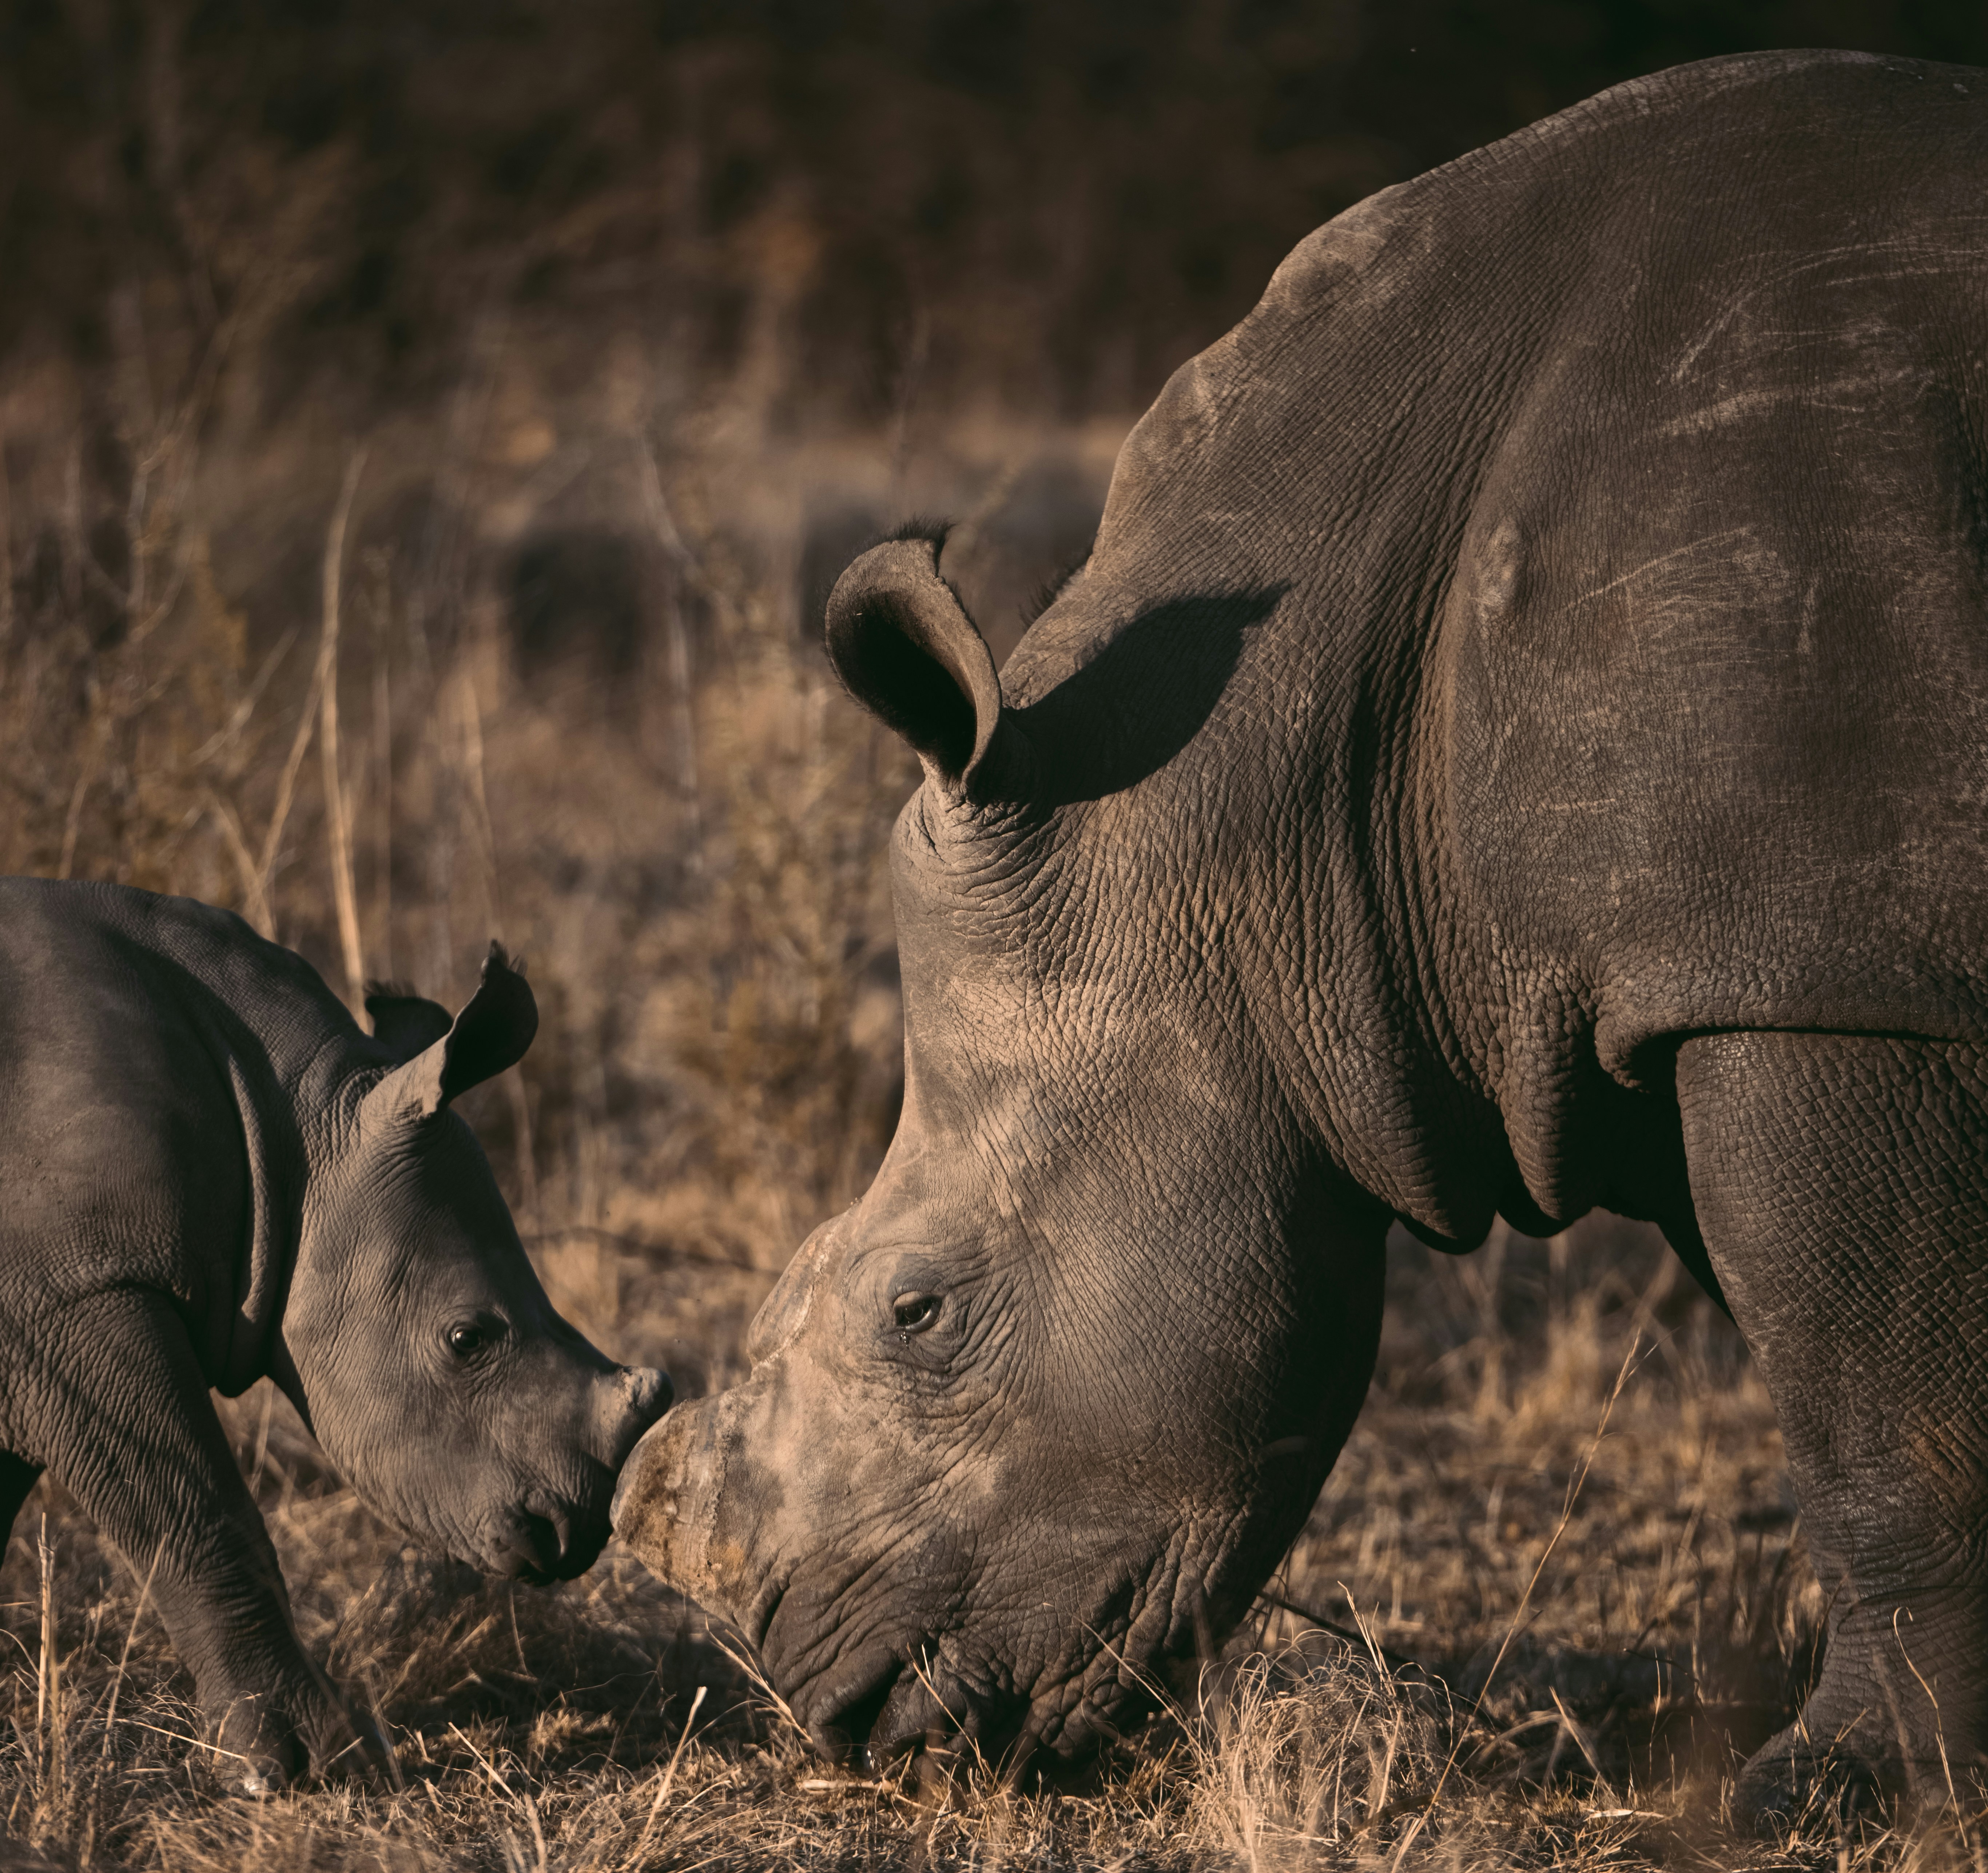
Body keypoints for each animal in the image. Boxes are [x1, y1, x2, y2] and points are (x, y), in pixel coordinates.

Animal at [0, 879, 669, 1792]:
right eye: (466, 1339)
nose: (579, 1529)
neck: (286, 1123)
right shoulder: (74, 1291)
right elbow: (198, 1506)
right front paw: (309, 1767)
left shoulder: (35, 1310)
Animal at [615, 47, 1988, 1822]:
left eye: (917, 1309)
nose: (832, 1705)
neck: (1250, 794)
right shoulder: (1711, 963)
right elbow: (1856, 1364)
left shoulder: (1797, 971)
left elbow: (1868, 1394)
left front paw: (1832, 1794)